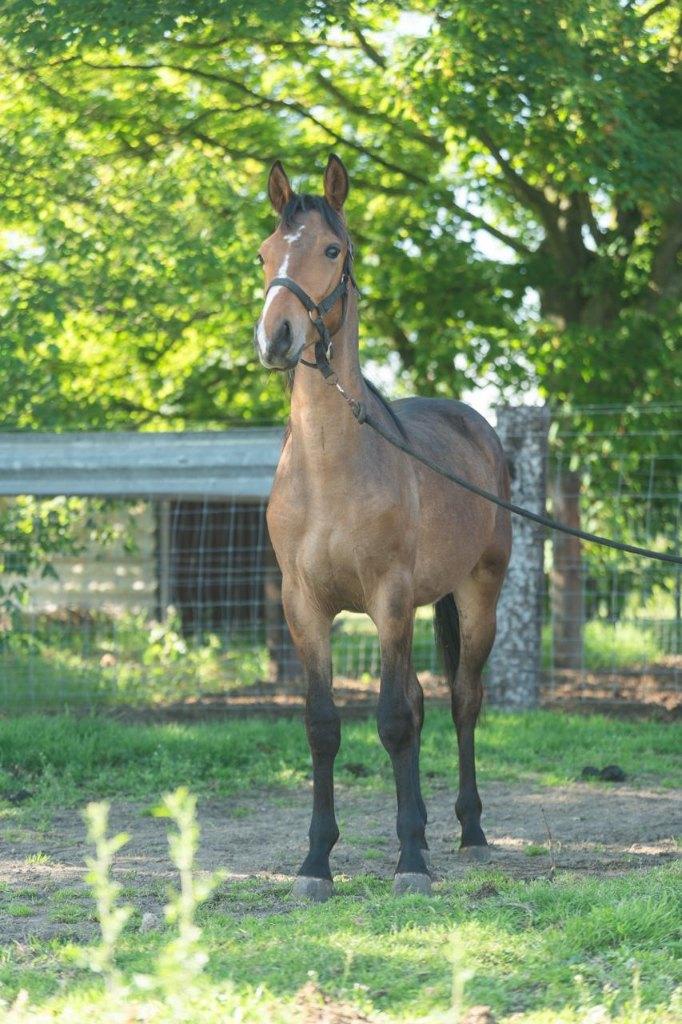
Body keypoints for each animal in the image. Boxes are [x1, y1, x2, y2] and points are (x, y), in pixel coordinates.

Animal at [254, 154, 511, 901]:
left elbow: (394, 722)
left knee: (459, 702)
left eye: (331, 251)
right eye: (265, 253)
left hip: (478, 595)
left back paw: (469, 830)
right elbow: (323, 726)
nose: (277, 338)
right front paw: (316, 863)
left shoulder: (390, 600)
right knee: (426, 702)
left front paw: (411, 862)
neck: (329, 469)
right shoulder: (304, 607)